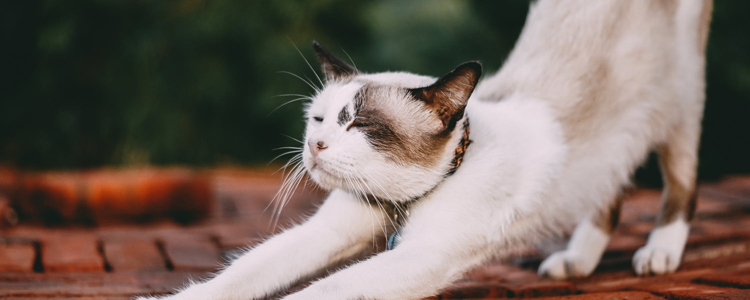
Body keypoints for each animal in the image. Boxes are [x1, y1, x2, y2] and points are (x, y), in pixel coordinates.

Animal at [138, 0, 712, 298]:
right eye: (319, 120)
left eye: (359, 124)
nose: (315, 146)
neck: (400, 204)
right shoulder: (328, 233)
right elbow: (237, 276)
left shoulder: (423, 257)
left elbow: (317, 293)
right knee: (609, 190)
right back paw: (574, 262)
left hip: (678, 109)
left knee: (680, 186)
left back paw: (657, 253)